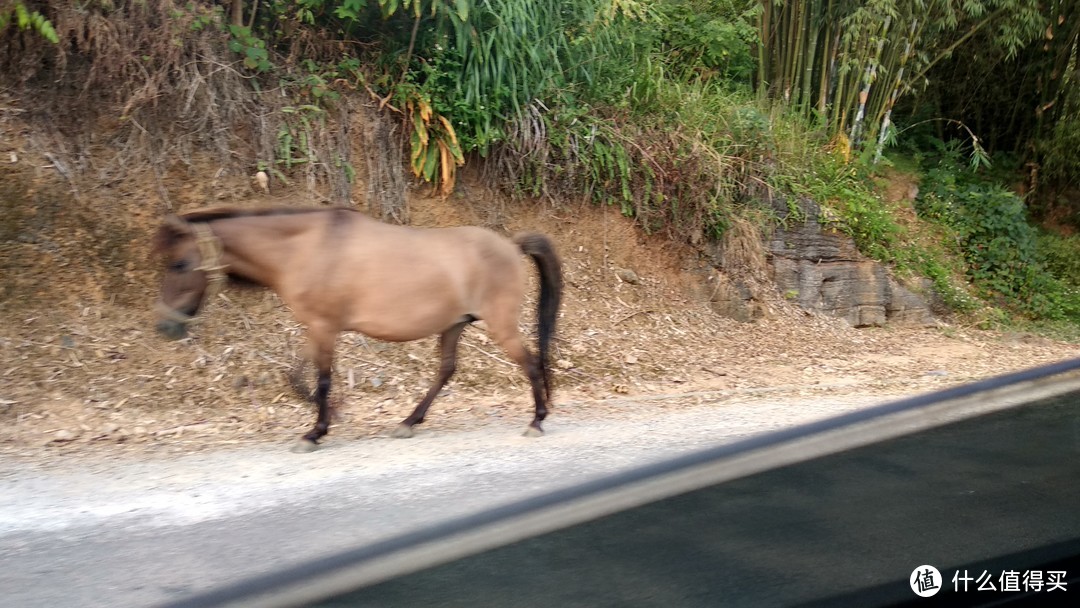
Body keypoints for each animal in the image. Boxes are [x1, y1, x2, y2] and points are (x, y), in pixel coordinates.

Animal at [155, 209, 561, 451]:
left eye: (180, 264)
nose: (165, 326)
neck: (307, 248)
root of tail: (510, 245)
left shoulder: (324, 328)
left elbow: (321, 380)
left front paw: (315, 432)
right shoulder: (317, 326)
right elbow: (296, 376)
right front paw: (332, 417)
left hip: (500, 324)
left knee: (530, 363)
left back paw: (536, 421)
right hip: (453, 326)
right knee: (446, 370)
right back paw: (409, 422)